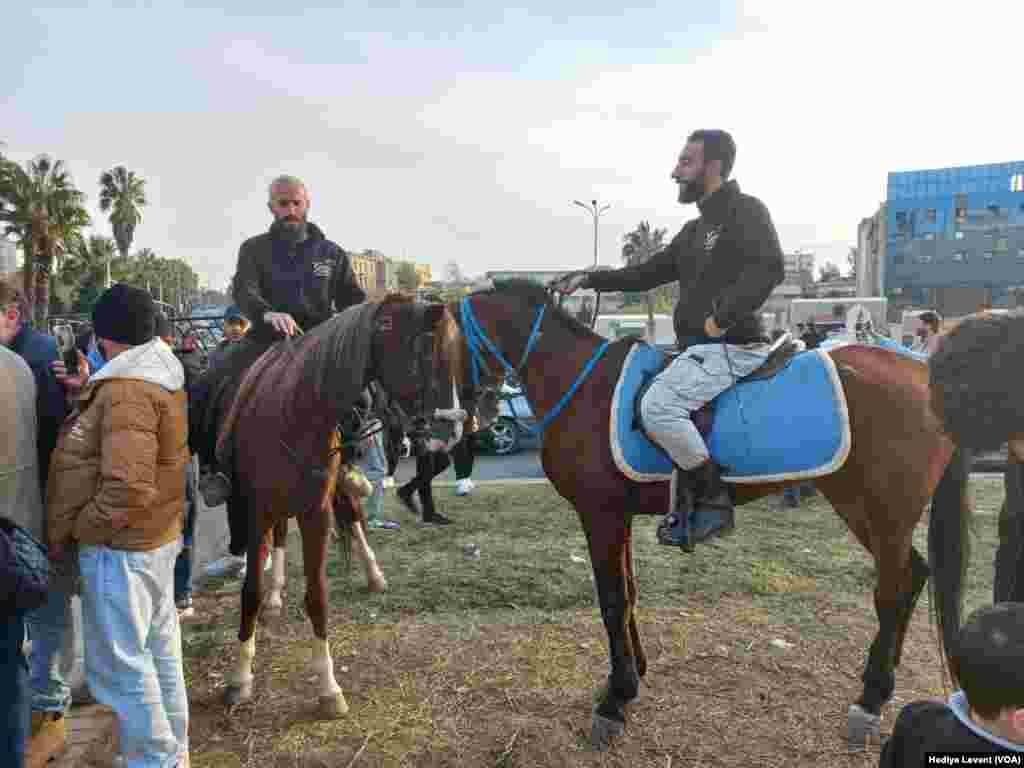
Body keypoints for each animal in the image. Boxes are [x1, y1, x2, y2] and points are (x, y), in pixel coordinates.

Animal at [216, 296, 464, 720]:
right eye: (427, 354)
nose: (456, 429)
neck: (293, 411)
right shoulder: (255, 510)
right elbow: (250, 591)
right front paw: (240, 677)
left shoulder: (316, 512)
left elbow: (317, 597)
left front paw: (329, 689)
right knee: (281, 536)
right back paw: (275, 595)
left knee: (355, 519)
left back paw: (374, 574)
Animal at [458, 278, 966, 753]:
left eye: (449, 337)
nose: (467, 417)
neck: (582, 385)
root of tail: (923, 372)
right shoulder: (616, 515)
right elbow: (629, 593)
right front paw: (633, 676)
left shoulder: (599, 515)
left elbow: (613, 602)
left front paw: (616, 701)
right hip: (863, 505)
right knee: (911, 576)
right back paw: (879, 685)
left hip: (880, 507)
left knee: (893, 590)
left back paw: (870, 700)